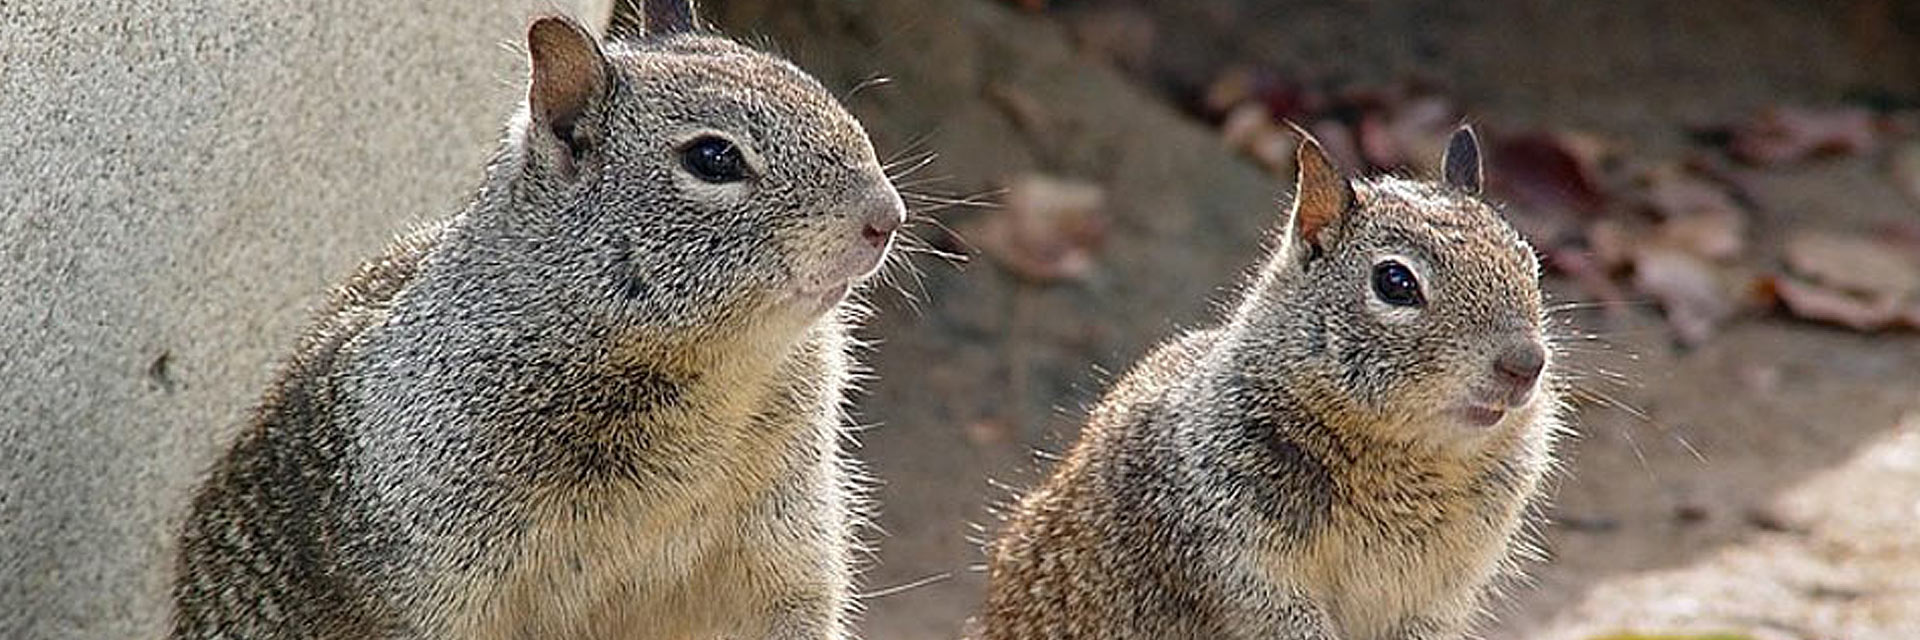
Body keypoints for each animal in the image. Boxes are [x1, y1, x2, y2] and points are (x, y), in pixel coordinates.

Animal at [170, 4, 904, 638]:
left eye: (812, 85)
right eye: (713, 158)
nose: (887, 217)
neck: (718, 372)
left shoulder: (789, 538)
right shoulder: (441, 569)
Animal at [978, 126, 1563, 640]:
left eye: (1529, 262)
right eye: (1395, 282)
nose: (1525, 364)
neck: (1409, 460)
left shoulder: (1446, 589)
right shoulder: (1236, 554)